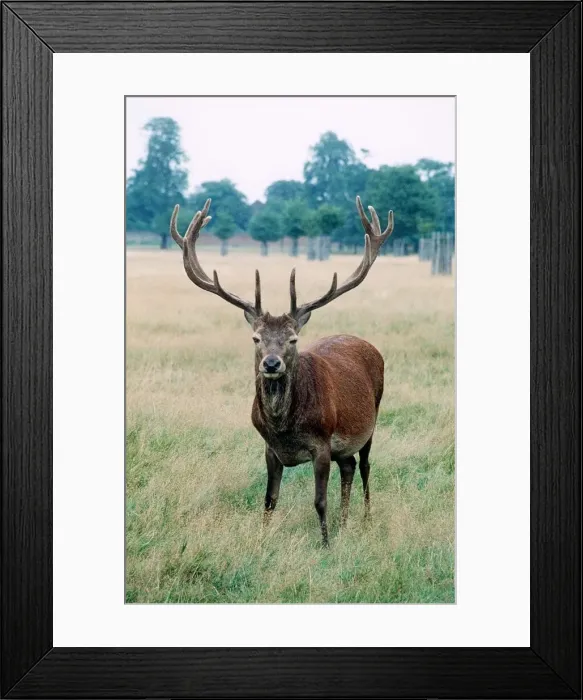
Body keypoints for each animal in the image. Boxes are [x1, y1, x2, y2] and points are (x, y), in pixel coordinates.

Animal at [170, 197, 393, 546]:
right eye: (256, 338)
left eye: (292, 338)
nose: (271, 364)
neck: (283, 428)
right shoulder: (269, 448)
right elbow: (269, 499)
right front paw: (262, 540)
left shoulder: (321, 444)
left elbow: (319, 500)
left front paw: (325, 545)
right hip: (345, 445)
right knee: (349, 466)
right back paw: (344, 523)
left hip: (371, 420)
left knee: (366, 465)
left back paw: (366, 519)